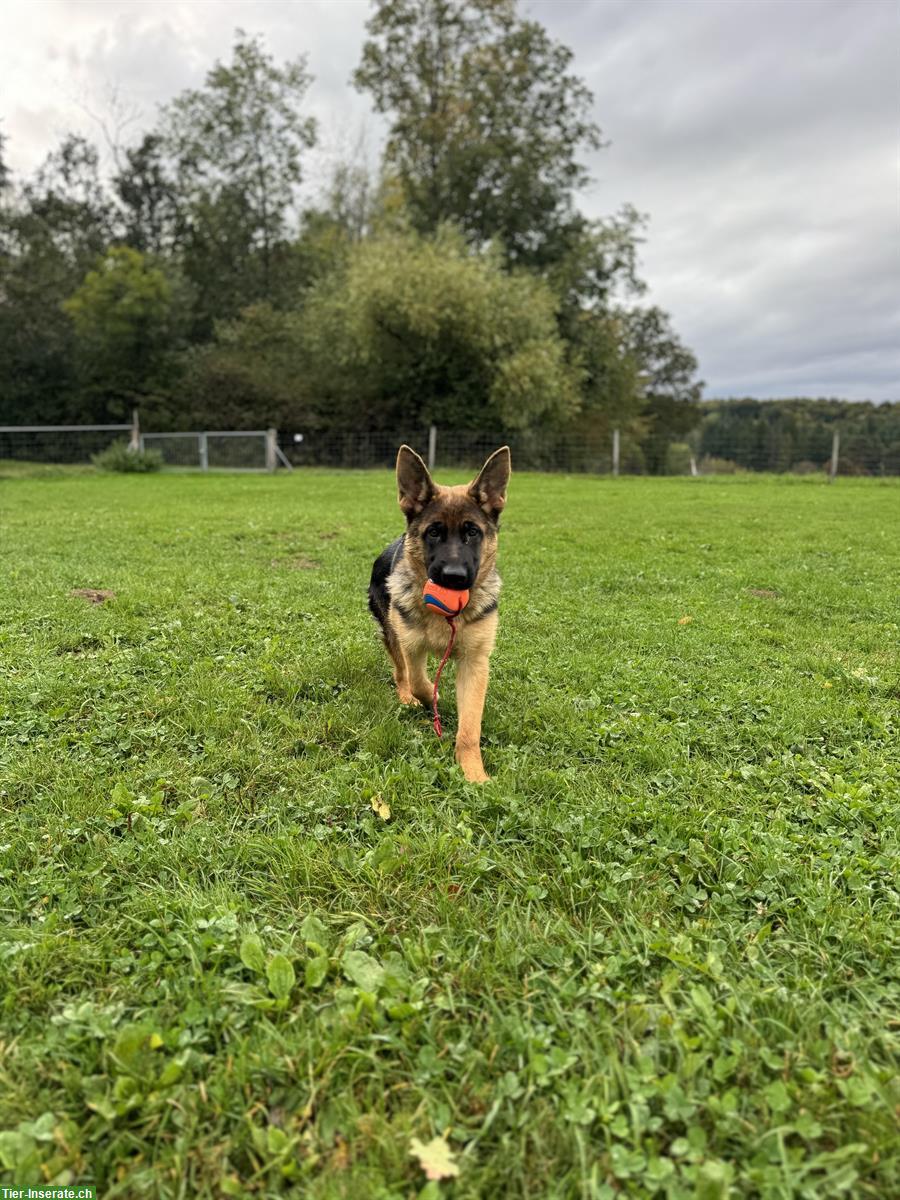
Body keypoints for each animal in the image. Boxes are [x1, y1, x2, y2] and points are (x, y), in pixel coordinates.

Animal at [367, 446, 511, 782]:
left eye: (473, 532)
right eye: (433, 532)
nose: (454, 578)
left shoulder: (475, 663)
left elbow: (470, 726)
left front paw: (473, 772)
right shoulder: (412, 647)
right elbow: (419, 682)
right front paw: (428, 699)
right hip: (392, 635)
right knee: (401, 673)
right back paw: (406, 697)